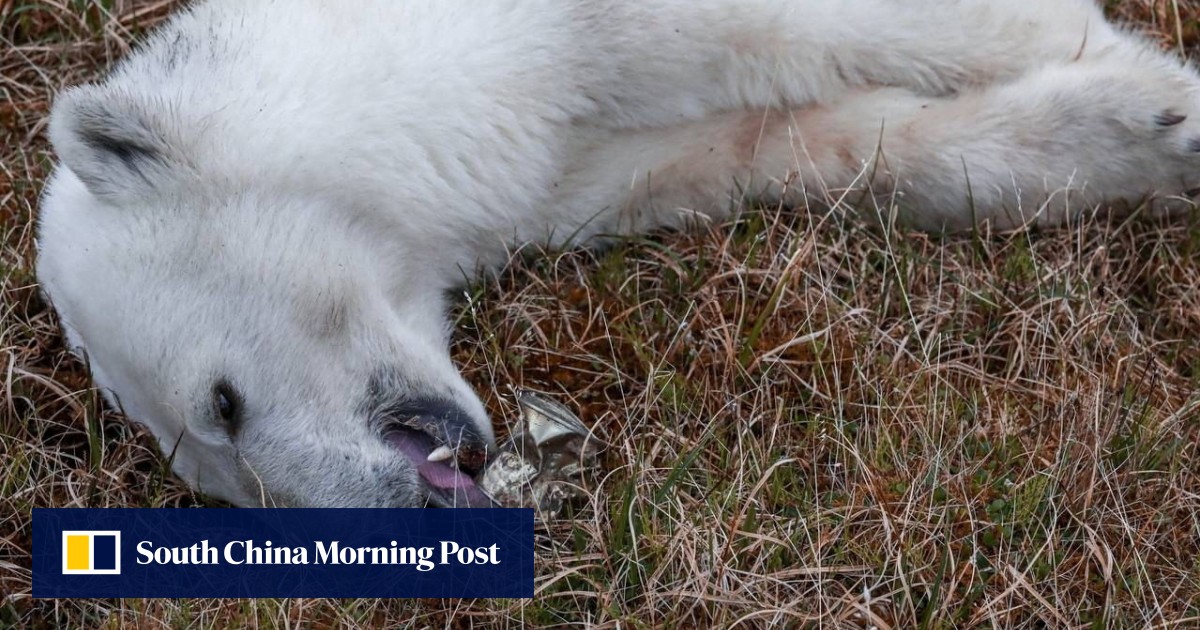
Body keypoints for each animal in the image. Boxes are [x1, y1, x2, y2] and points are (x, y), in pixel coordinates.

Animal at [36, 0, 1200, 508]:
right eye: (233, 490)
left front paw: (1160, 95)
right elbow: (798, 143)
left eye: (220, 405)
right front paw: (1137, 131)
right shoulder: (579, 161)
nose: (418, 508)